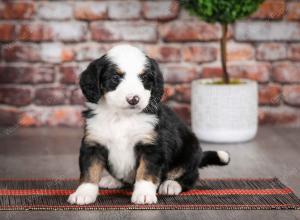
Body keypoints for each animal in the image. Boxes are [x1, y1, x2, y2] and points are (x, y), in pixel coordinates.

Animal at [68, 44, 230, 205]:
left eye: (144, 77)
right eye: (115, 77)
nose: (133, 99)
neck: (121, 117)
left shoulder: (152, 146)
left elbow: (146, 172)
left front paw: (144, 194)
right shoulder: (93, 144)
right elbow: (89, 172)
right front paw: (83, 193)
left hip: (190, 151)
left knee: (190, 175)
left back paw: (171, 185)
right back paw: (112, 180)